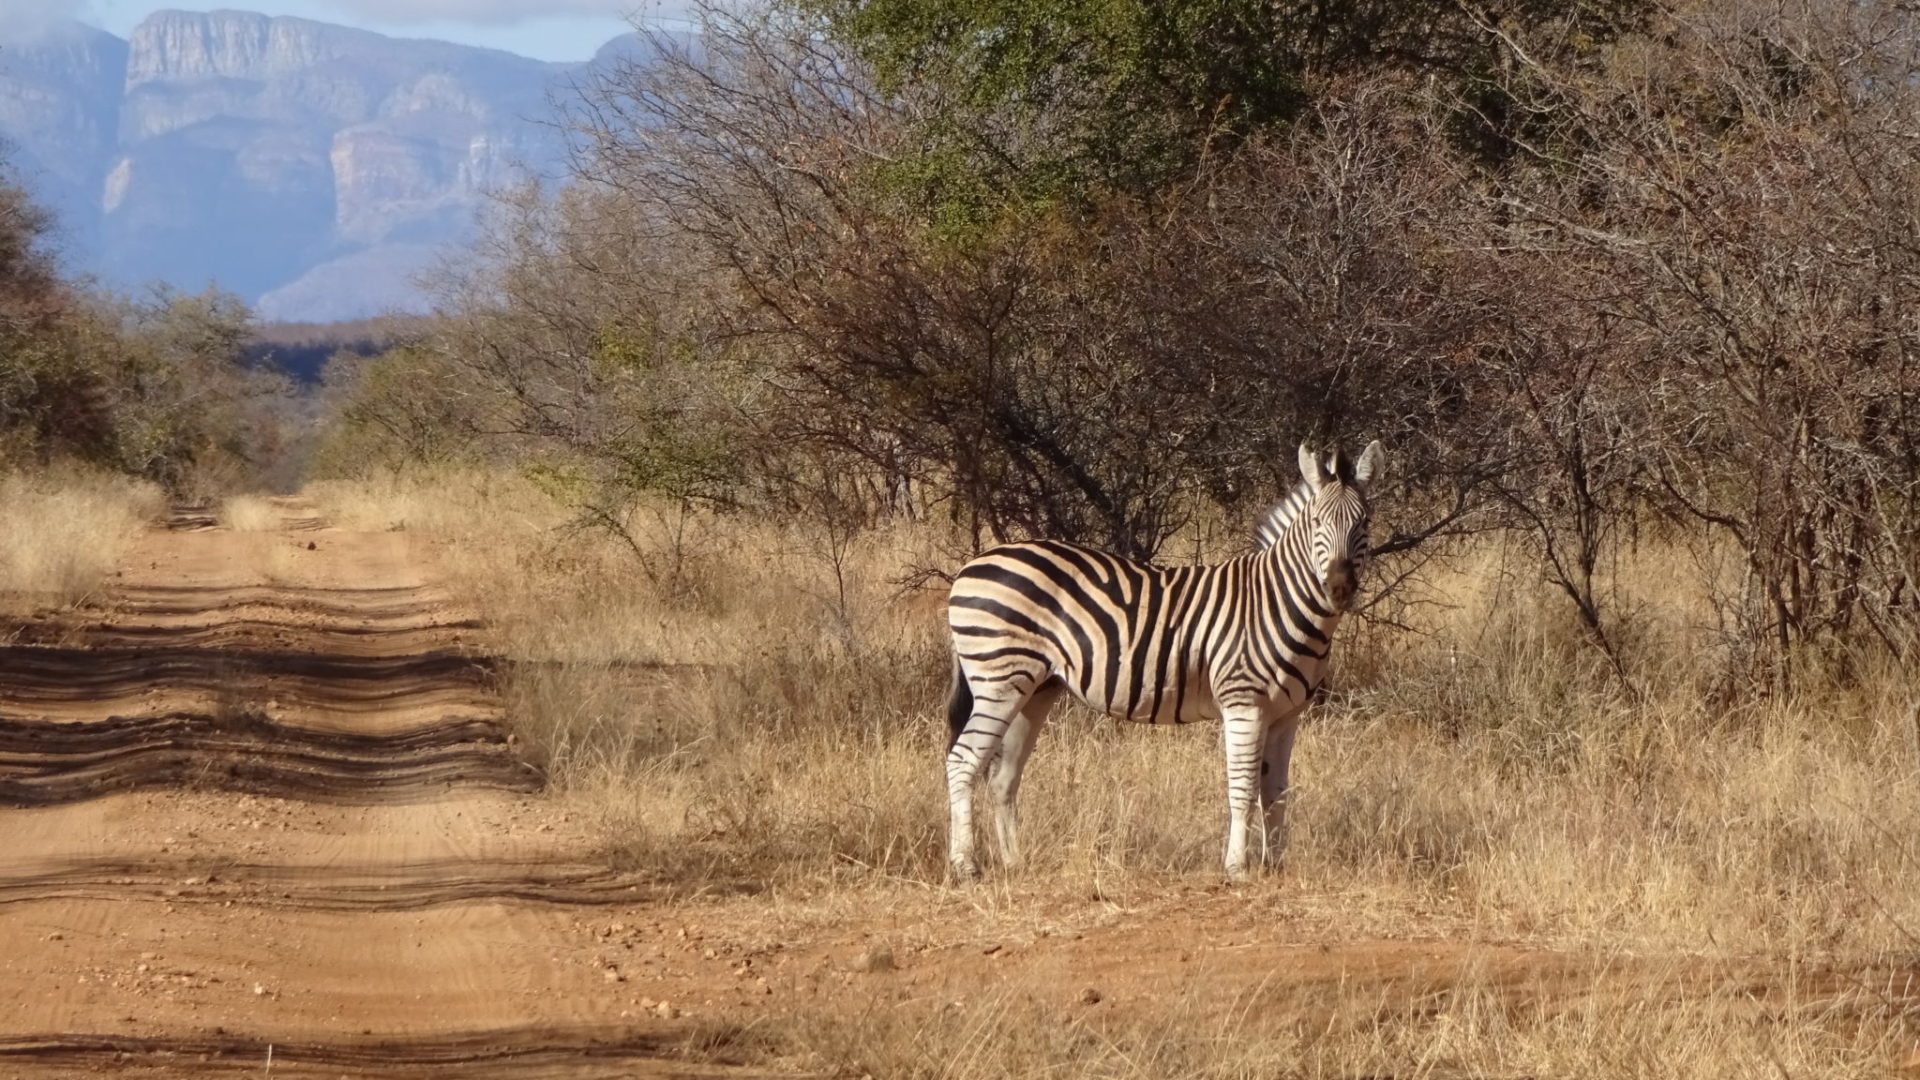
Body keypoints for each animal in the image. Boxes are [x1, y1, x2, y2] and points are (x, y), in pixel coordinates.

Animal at [943, 440, 1385, 882]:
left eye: (1363, 522)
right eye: (1317, 523)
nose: (1339, 588)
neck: (1277, 603)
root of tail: (972, 565)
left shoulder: (1286, 715)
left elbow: (1276, 792)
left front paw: (1274, 865)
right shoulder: (1243, 704)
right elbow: (1242, 789)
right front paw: (1237, 867)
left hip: (1035, 689)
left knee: (1002, 777)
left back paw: (1014, 862)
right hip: (999, 680)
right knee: (963, 761)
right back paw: (966, 865)